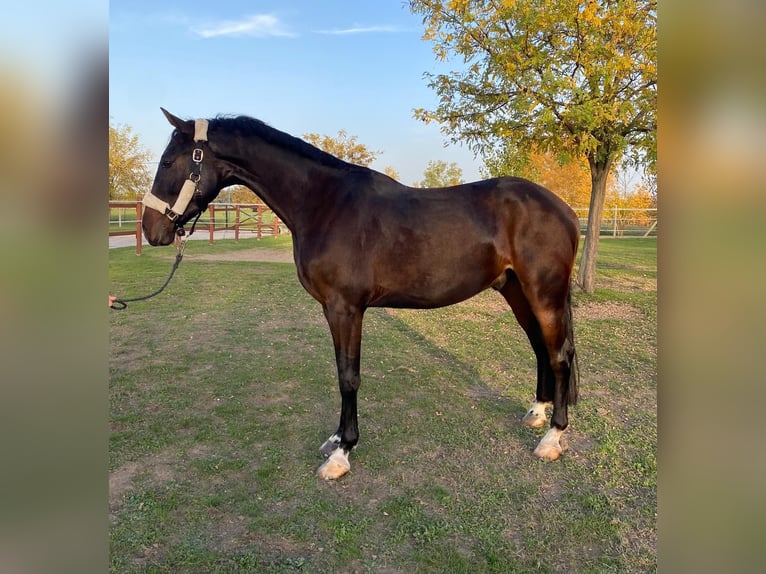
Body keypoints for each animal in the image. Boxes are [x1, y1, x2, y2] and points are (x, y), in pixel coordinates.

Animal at [141, 108, 580, 482]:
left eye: (169, 163)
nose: (151, 229)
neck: (325, 204)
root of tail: (565, 210)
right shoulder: (335, 310)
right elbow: (341, 370)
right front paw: (336, 440)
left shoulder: (345, 308)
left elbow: (347, 377)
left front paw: (342, 454)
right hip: (516, 291)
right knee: (541, 349)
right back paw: (537, 414)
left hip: (544, 294)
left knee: (558, 356)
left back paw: (552, 438)